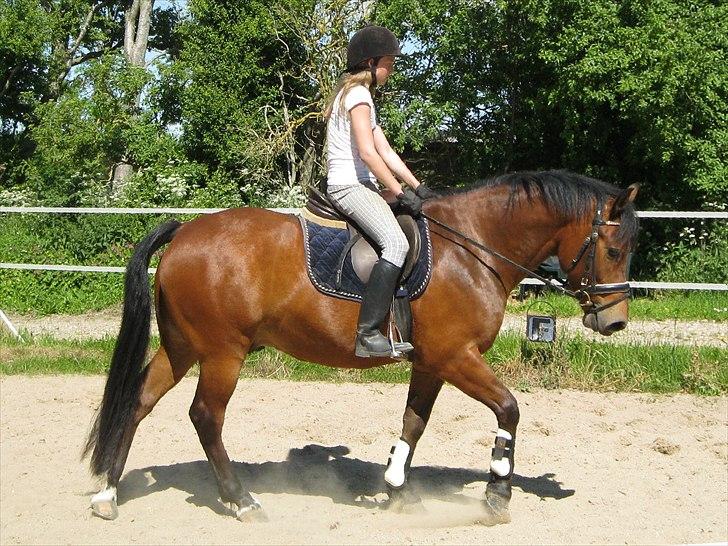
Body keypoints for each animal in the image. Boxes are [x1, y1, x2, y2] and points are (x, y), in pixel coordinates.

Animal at [84, 169, 636, 520]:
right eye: (613, 250)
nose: (614, 322)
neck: (471, 248)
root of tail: (184, 231)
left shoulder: (431, 363)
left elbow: (414, 423)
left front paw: (397, 489)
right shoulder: (456, 357)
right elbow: (509, 408)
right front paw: (498, 491)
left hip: (183, 347)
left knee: (138, 400)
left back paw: (108, 494)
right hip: (223, 353)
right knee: (206, 416)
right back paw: (241, 500)